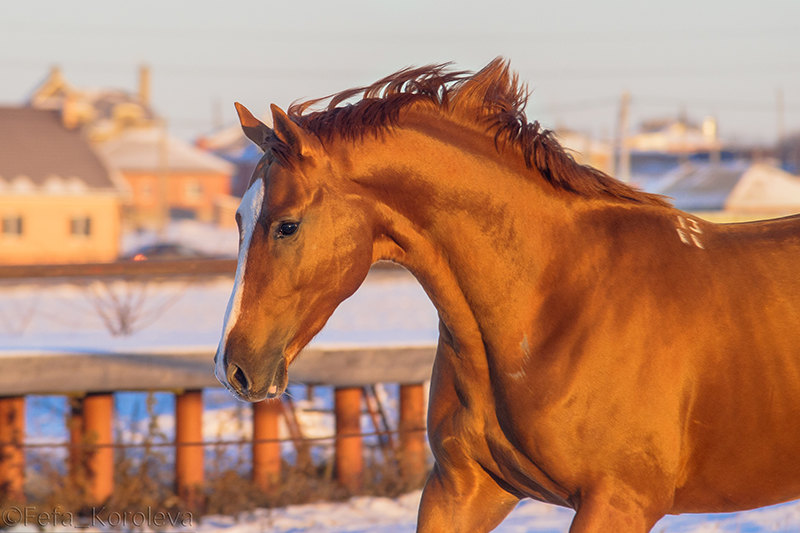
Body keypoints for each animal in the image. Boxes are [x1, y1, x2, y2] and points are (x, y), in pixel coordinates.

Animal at [216, 58, 800, 528]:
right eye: (239, 220)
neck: (553, 306)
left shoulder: (618, 503)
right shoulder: (464, 489)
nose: (233, 368)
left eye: (287, 225)